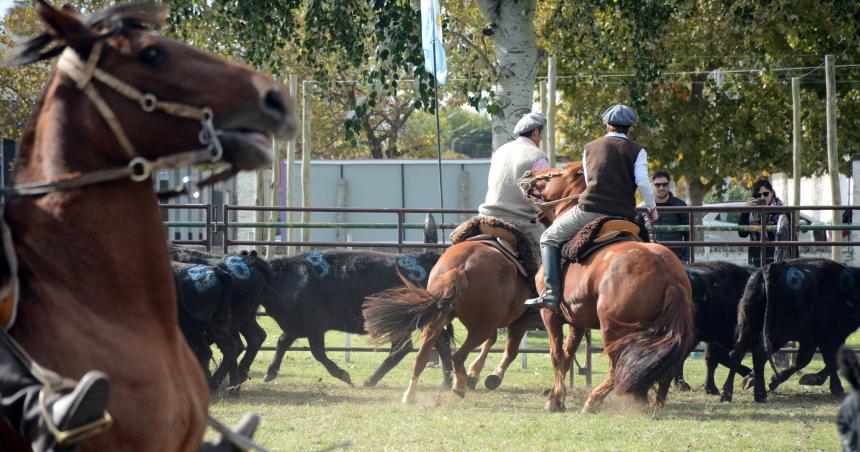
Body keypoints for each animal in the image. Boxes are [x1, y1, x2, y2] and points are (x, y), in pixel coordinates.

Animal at [262, 249, 454, 386]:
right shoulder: (296, 326)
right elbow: (282, 342)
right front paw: (270, 372)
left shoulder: (313, 327)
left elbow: (317, 353)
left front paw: (343, 375)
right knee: (438, 344)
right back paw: (447, 381)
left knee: (404, 348)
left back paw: (370, 380)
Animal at [524, 163, 700, 414]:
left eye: (556, 170)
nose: (528, 174)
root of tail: (668, 274)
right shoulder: (577, 321)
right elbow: (567, 356)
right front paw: (558, 397)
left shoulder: (550, 314)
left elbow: (557, 355)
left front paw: (554, 401)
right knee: (661, 368)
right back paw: (653, 404)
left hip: (613, 330)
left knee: (618, 369)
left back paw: (594, 401)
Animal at [720, 258, 860, 402]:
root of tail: (771, 268)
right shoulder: (831, 336)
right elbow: (830, 361)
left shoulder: (813, 339)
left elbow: (810, 360)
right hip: (780, 333)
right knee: (759, 353)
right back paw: (760, 394)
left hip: (748, 325)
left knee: (738, 353)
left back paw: (727, 393)